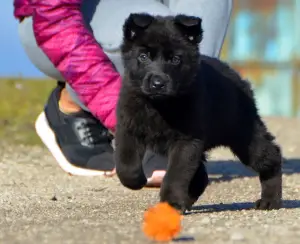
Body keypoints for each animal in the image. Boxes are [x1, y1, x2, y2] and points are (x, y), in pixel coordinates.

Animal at [113, 12, 282, 212]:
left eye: (175, 59)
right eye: (143, 56)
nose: (158, 83)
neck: (159, 105)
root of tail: (237, 77)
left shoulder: (186, 141)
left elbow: (176, 174)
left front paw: (171, 202)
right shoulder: (128, 128)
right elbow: (126, 165)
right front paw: (138, 180)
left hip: (245, 138)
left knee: (272, 157)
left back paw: (270, 200)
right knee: (201, 176)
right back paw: (186, 201)